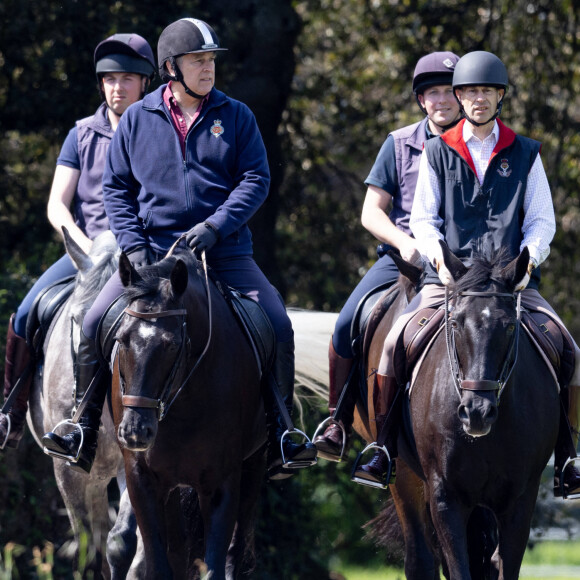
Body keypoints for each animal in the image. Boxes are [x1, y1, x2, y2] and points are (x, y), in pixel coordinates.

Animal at [110, 241, 268, 580]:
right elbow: (160, 564)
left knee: (235, 550)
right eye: (121, 338)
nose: (135, 431)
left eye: (171, 344)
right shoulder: (142, 478)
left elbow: (217, 565)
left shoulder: (222, 482)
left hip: (254, 465)